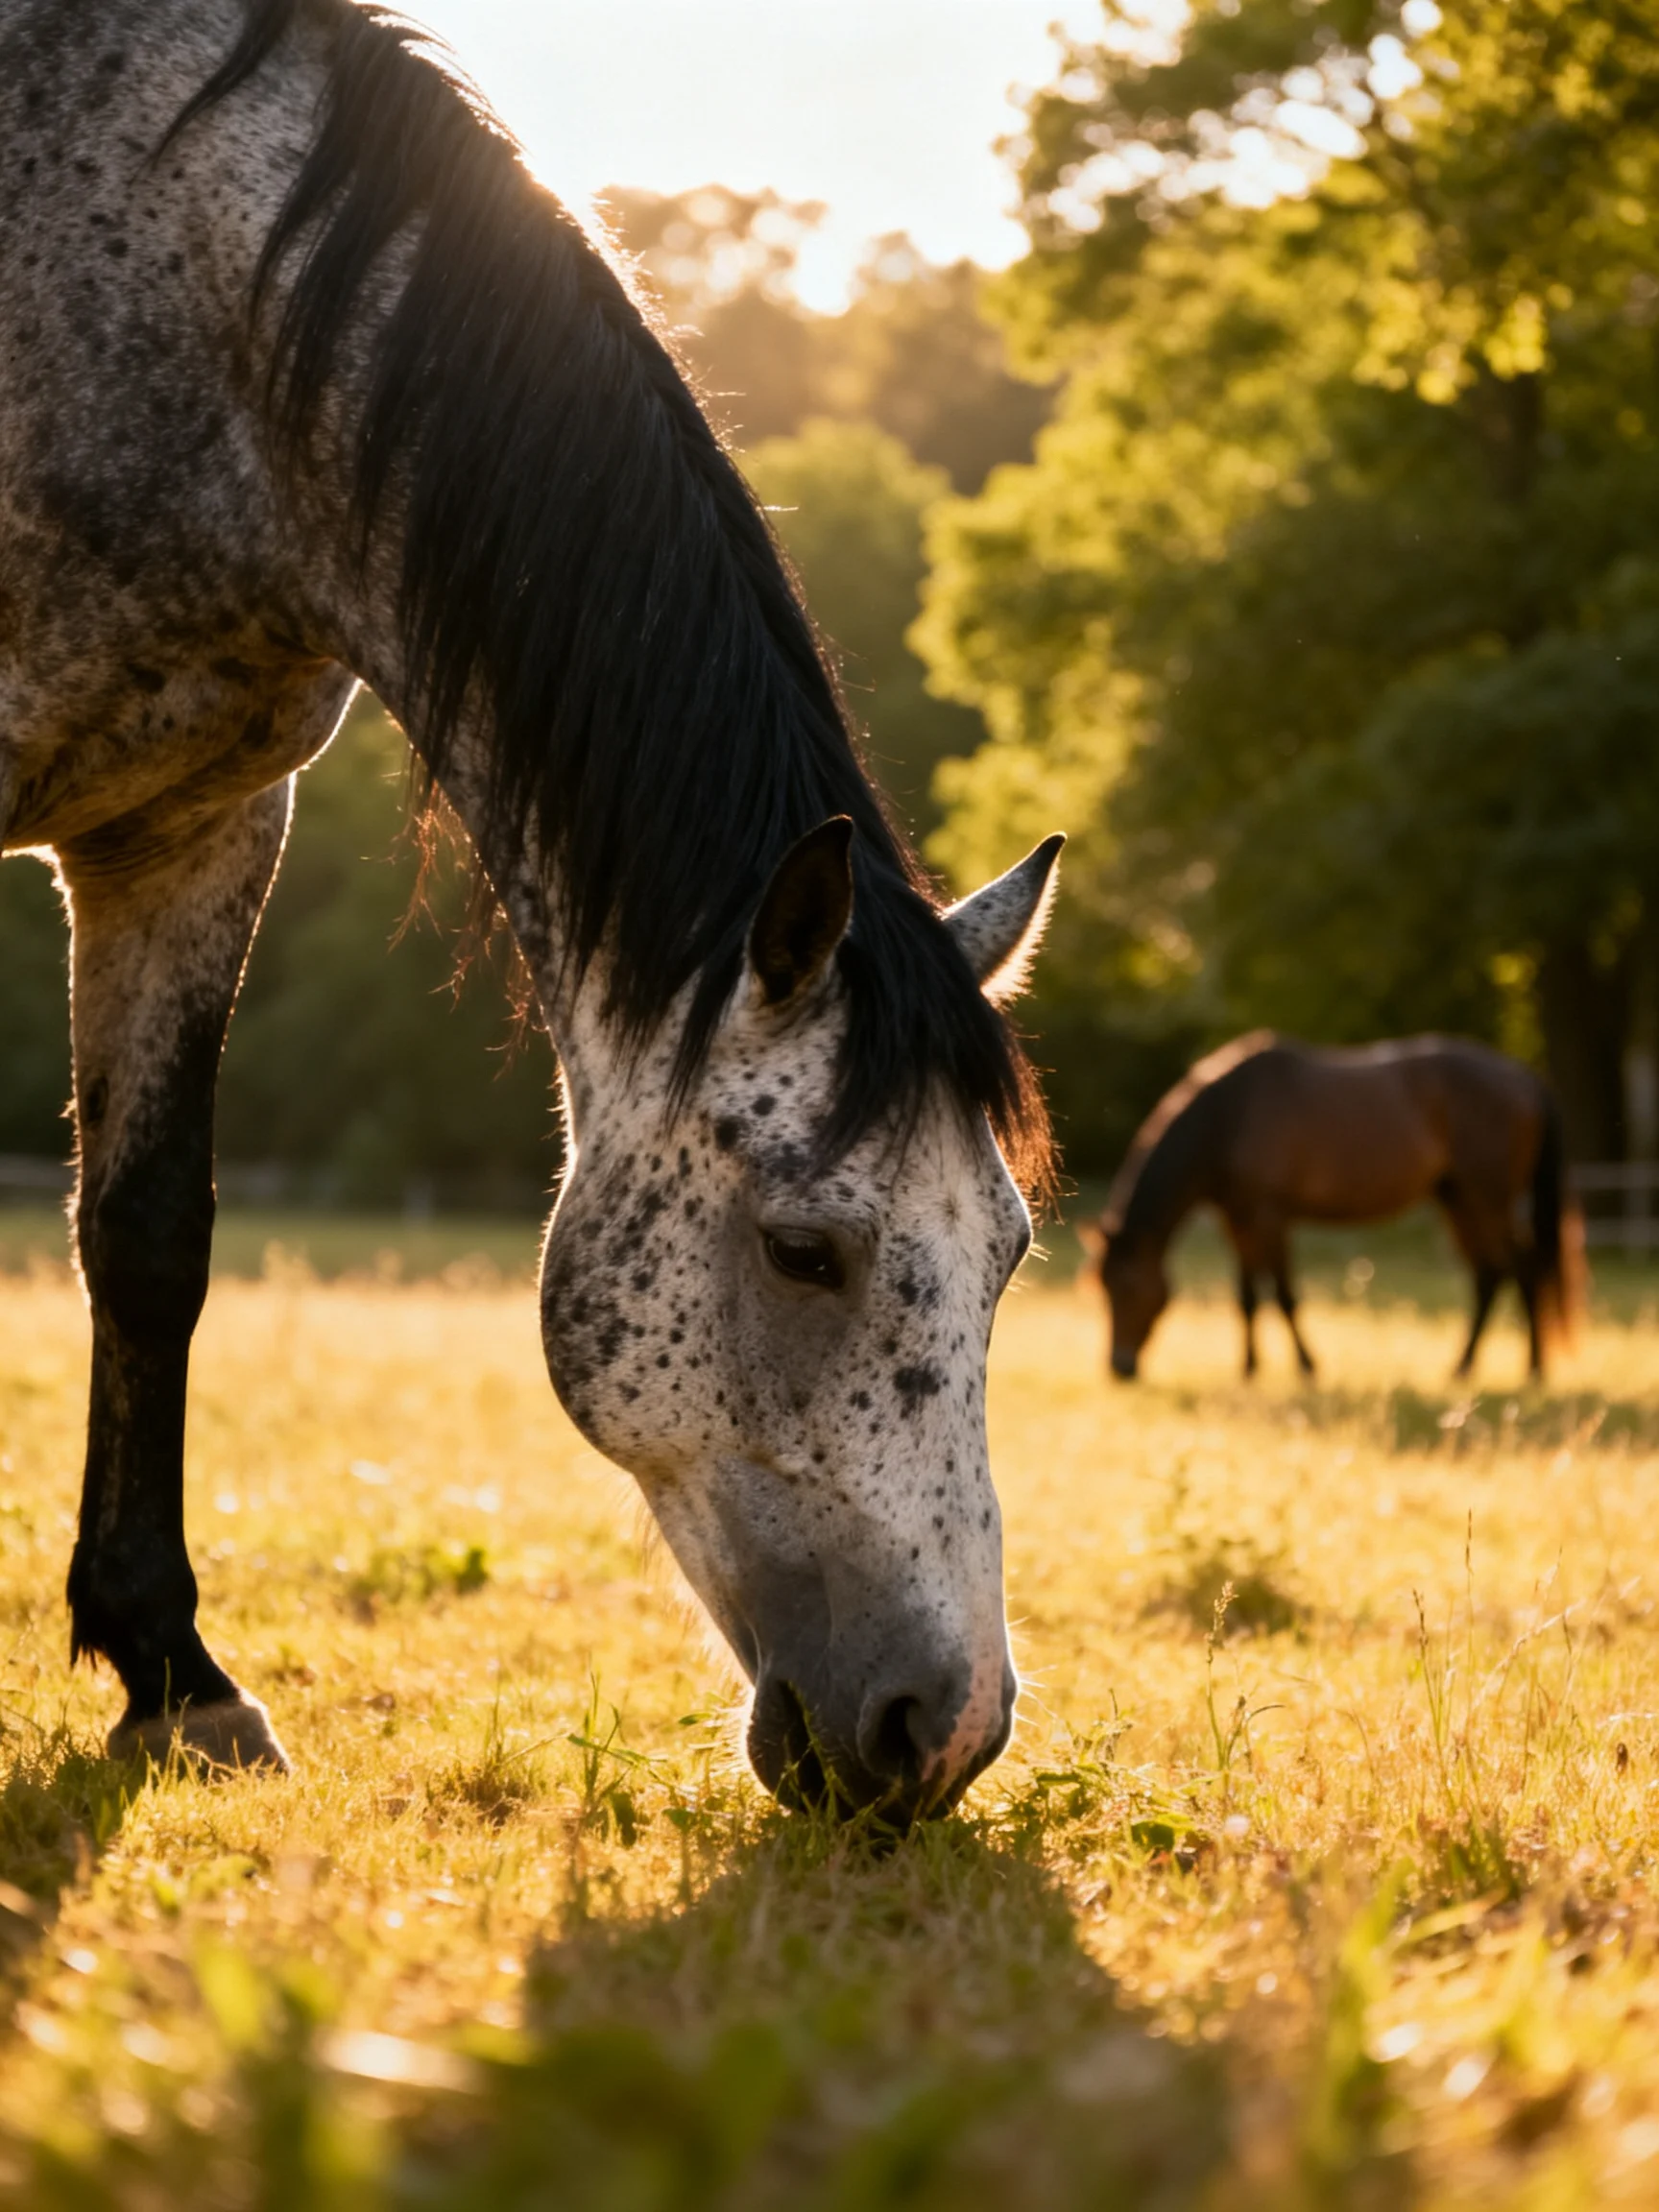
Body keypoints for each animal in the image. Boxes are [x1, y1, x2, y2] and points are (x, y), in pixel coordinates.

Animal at [0, 0, 1065, 1826]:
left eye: (1004, 1251)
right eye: (803, 1250)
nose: (941, 1735)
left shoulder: (191, 828)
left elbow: (146, 1240)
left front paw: (174, 1674)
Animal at [1091, 1033, 1580, 1383]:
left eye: (1128, 1287)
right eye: (1103, 1288)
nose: (1119, 1367)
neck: (1228, 1117)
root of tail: (1525, 1078)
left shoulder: (1269, 1217)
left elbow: (1284, 1295)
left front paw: (1307, 1367)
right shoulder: (1237, 1219)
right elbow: (1246, 1298)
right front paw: (1248, 1369)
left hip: (1489, 1197)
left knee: (1523, 1269)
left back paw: (1533, 1369)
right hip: (1457, 1199)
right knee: (1489, 1275)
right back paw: (1462, 1366)